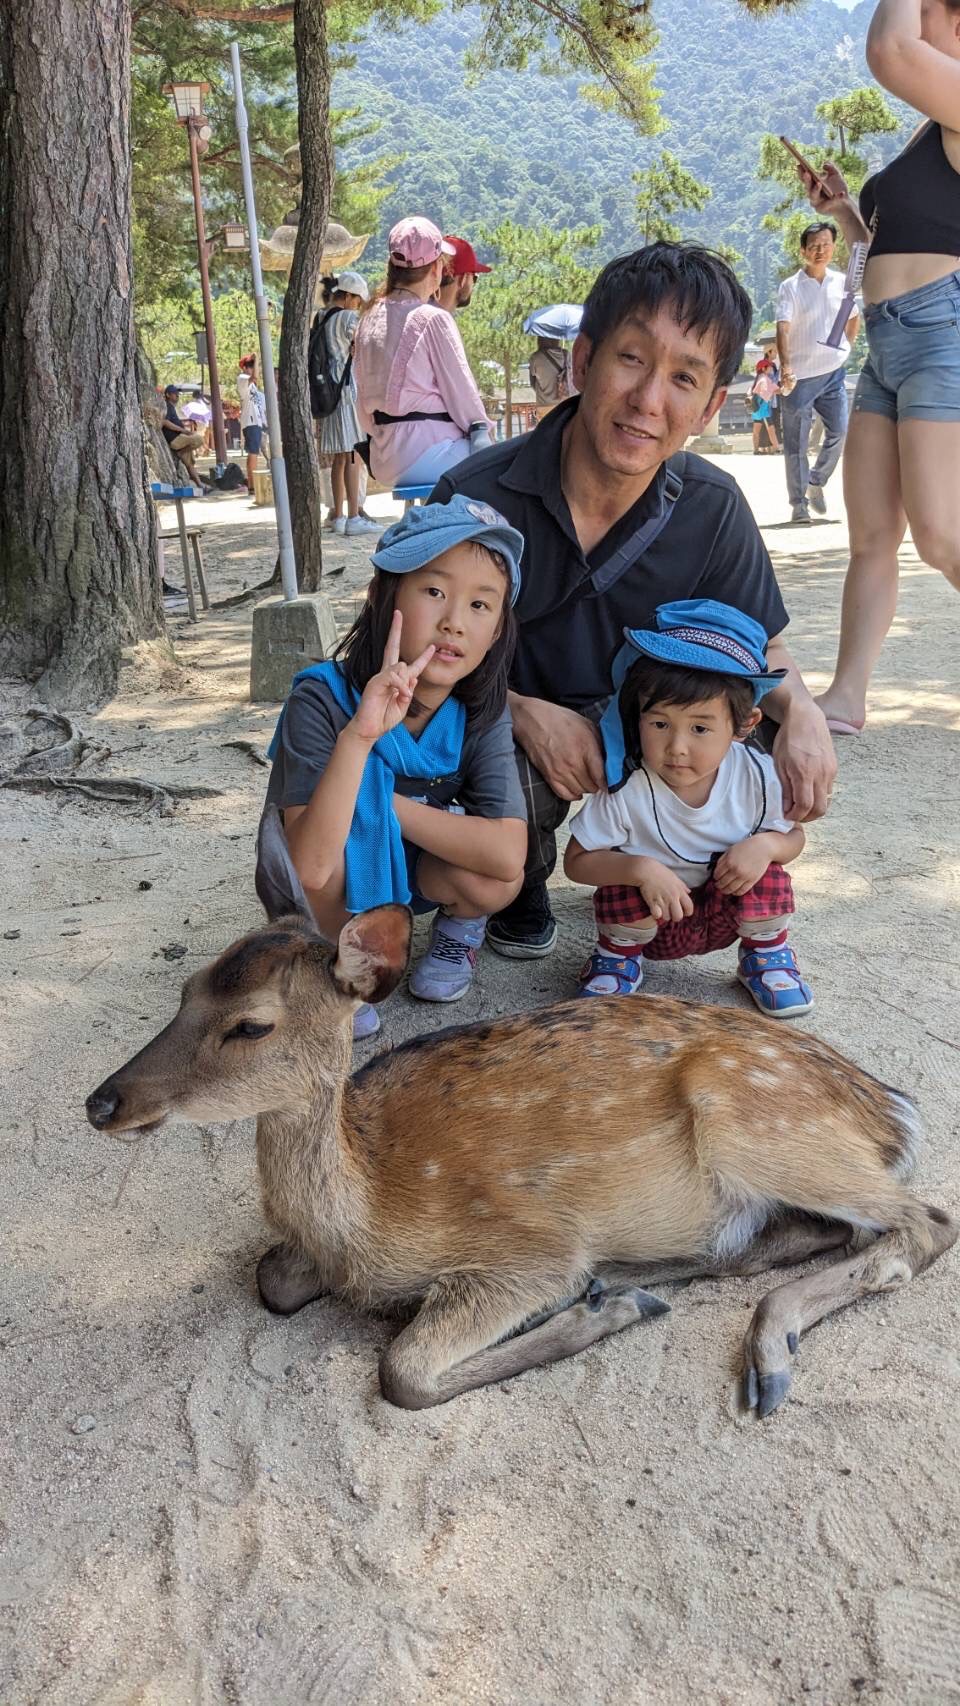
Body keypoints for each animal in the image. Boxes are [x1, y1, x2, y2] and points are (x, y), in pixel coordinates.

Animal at [86, 805, 954, 1419]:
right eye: (188, 989)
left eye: (252, 1025)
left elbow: (401, 1371)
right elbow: (270, 1277)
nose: (103, 1101)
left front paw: (604, 1314)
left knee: (924, 1220)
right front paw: (609, 1299)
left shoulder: (522, 1248)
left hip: (758, 1123)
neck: (362, 1224)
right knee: (800, 1237)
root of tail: (892, 1110)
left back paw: (753, 1348)